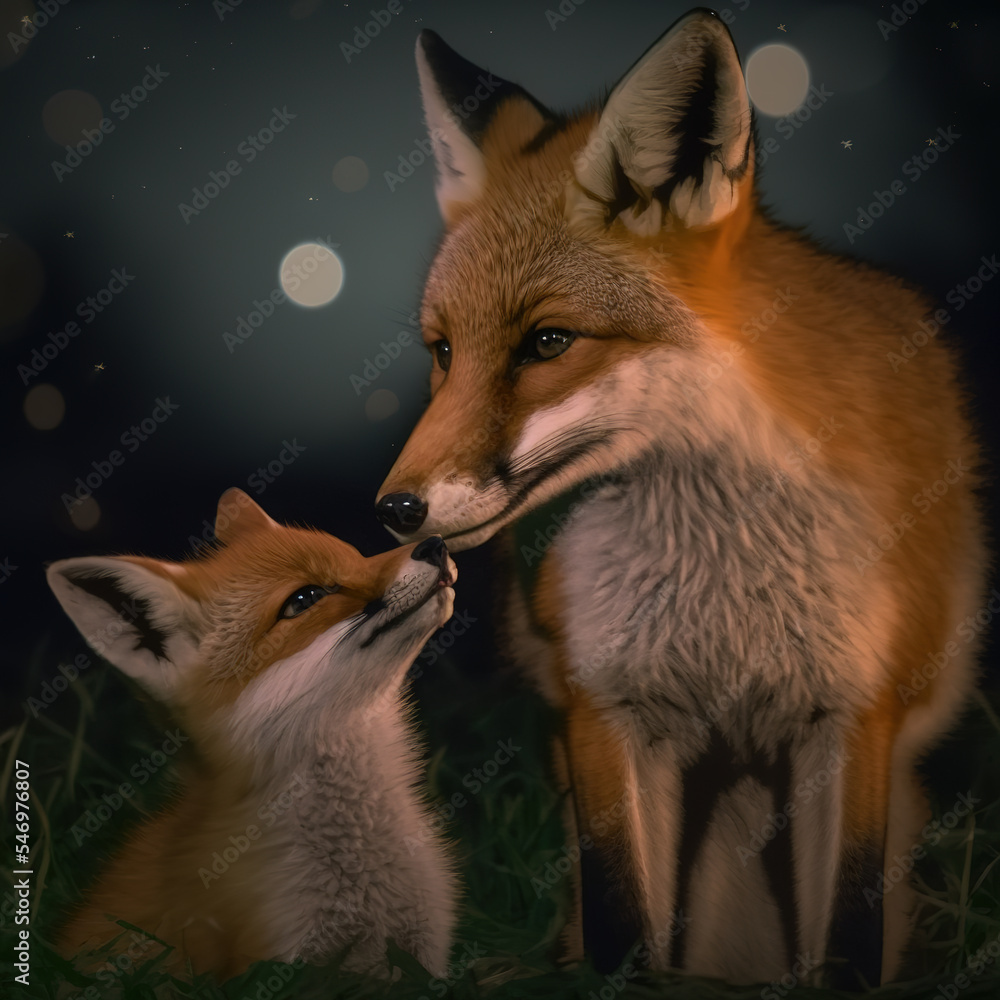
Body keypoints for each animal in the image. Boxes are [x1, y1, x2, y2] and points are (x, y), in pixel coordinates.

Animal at [373, 8, 988, 989]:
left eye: (549, 342)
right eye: (443, 352)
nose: (395, 512)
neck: (720, 581)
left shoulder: (855, 713)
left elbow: (849, 937)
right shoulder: (605, 707)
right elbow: (623, 927)